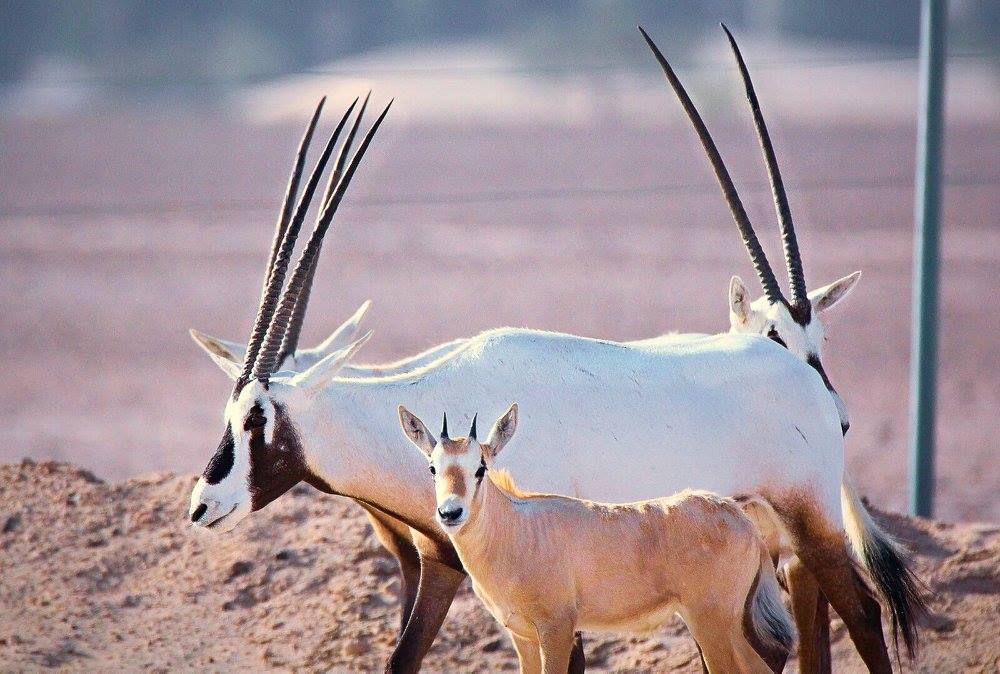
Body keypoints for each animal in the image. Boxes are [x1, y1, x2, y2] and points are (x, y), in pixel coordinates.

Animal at [398, 404, 796, 672]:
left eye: (480, 468)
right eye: (432, 468)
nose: (450, 513)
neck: (517, 529)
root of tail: (741, 520)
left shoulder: (557, 629)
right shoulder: (522, 637)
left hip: (709, 622)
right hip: (725, 624)